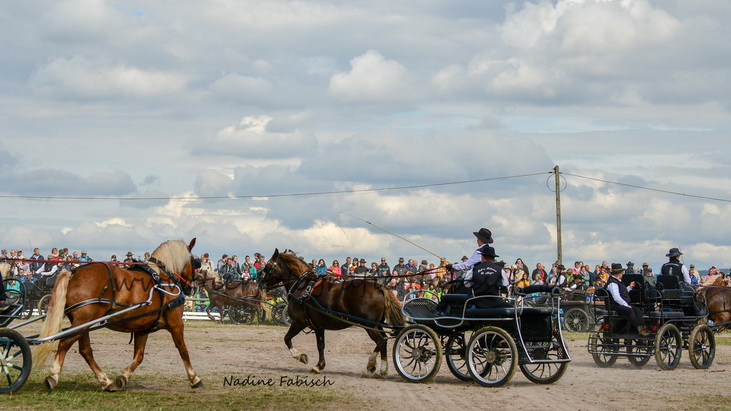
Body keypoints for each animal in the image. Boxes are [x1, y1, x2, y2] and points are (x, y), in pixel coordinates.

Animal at [33, 238, 202, 392]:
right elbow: (183, 350)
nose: (191, 287)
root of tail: (74, 273)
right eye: (195, 263)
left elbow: (139, 356)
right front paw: (194, 378)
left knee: (85, 351)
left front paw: (123, 377)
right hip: (84, 320)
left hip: (83, 322)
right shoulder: (176, 324)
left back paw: (106, 381)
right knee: (65, 343)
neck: (164, 278)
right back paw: (53, 376)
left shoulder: (142, 328)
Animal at [259, 249, 405, 376]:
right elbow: (320, 345)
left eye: (267, 268)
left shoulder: (299, 322)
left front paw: (301, 357)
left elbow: (287, 338)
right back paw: (374, 365)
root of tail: (379, 286)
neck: (303, 287)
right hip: (375, 324)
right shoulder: (318, 326)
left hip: (369, 325)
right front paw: (319, 365)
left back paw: (380, 368)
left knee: (381, 341)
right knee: (383, 340)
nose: (260, 284)